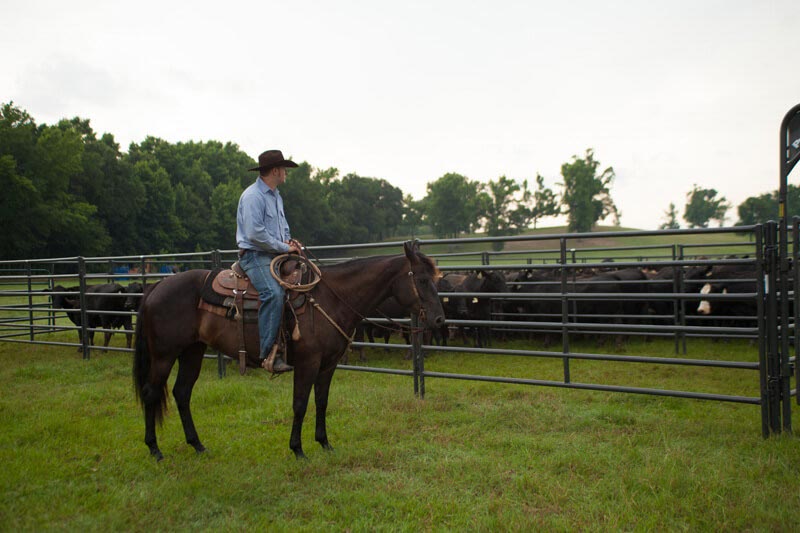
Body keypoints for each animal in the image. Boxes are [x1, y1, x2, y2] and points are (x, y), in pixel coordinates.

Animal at [131, 243, 444, 460]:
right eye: (422, 280)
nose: (439, 320)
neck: (331, 299)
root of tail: (156, 287)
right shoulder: (307, 363)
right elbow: (300, 404)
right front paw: (298, 449)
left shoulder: (328, 365)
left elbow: (322, 402)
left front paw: (325, 443)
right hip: (163, 355)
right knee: (151, 392)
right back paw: (154, 450)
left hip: (192, 352)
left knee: (182, 393)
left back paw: (197, 445)